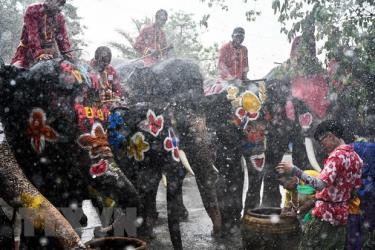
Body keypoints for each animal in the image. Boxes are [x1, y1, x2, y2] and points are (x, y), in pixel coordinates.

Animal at [113, 58, 222, 248]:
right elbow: (147, 178)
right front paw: (146, 233)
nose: (214, 233)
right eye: (176, 116)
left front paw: (181, 215)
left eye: (205, 111)